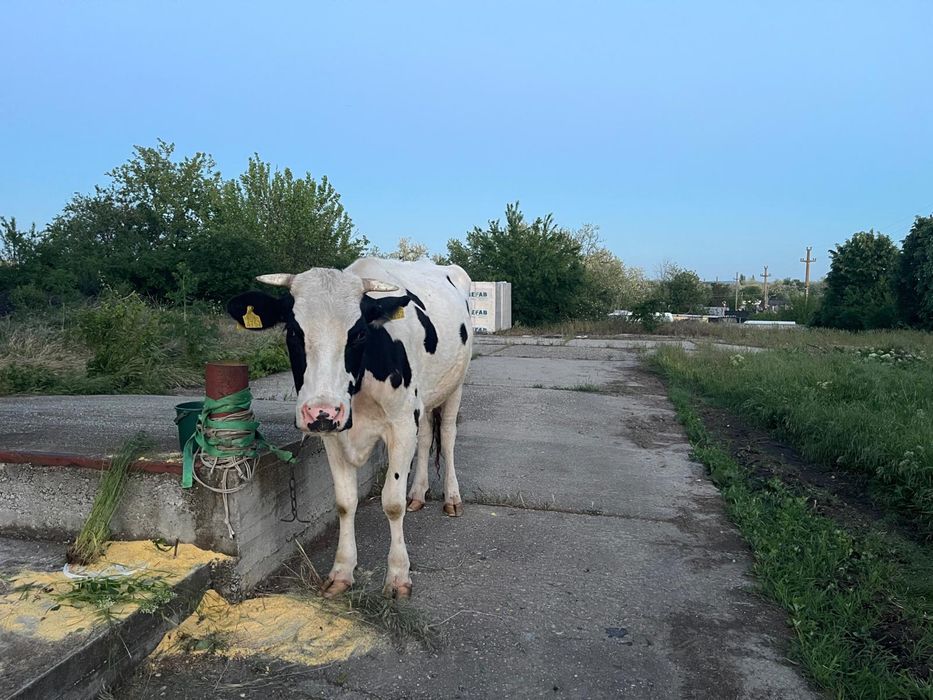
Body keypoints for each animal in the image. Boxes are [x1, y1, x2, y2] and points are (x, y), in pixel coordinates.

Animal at [226, 258, 473, 598]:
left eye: (358, 334)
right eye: (293, 331)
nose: (321, 410)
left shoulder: (400, 425)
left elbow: (392, 503)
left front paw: (398, 575)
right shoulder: (334, 433)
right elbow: (345, 503)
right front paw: (342, 571)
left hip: (455, 386)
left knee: (447, 437)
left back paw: (452, 498)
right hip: (422, 402)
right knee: (425, 439)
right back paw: (418, 494)